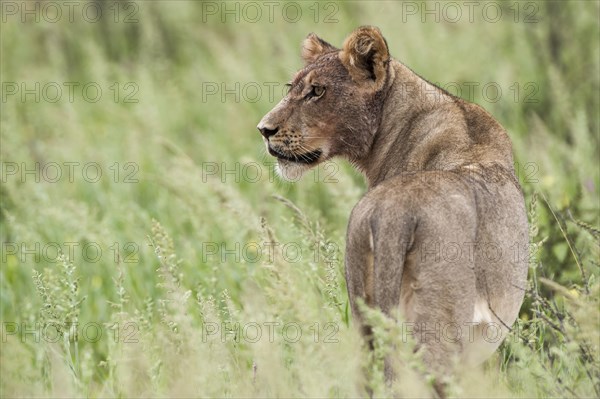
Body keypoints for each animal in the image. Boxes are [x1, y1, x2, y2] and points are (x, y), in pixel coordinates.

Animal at [255, 25, 528, 390]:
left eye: (316, 91)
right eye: (293, 89)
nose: (264, 130)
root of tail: (393, 214)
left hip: (363, 320)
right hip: (440, 331)